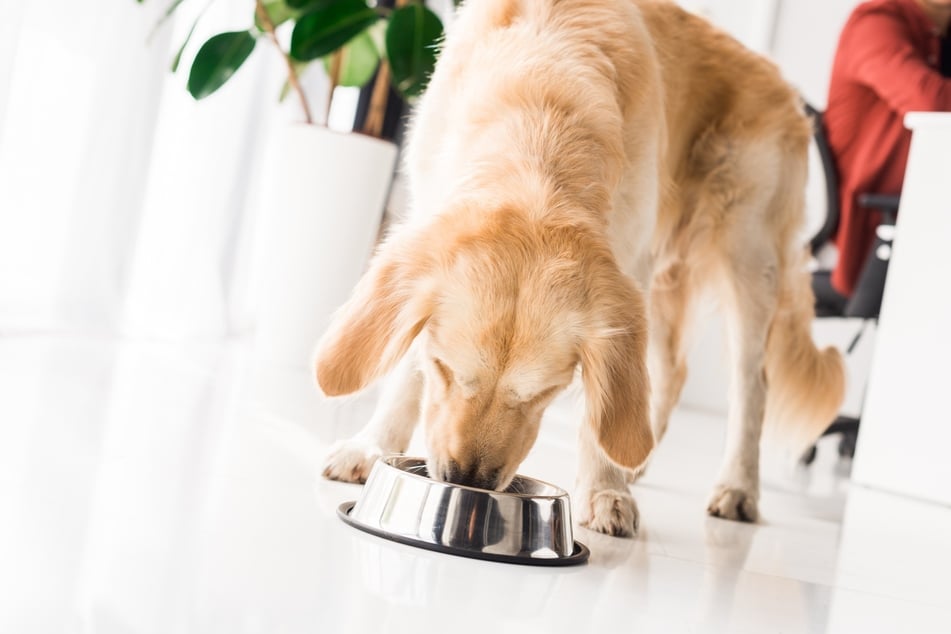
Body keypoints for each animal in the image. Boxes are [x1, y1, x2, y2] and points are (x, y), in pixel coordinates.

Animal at [316, 0, 844, 532]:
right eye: (445, 370)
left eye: (542, 393)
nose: (467, 481)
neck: (542, 103)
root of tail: (783, 83)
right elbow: (408, 366)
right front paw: (373, 445)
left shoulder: (630, 264)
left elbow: (602, 401)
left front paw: (606, 489)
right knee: (672, 369)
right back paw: (642, 457)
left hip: (749, 254)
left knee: (751, 385)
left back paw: (737, 486)